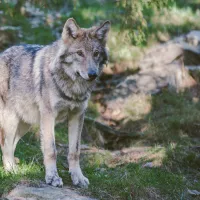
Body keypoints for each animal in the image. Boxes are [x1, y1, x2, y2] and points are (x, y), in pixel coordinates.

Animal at [0, 17, 110, 188]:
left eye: (96, 54)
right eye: (79, 53)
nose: (92, 74)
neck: (73, 88)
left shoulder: (78, 115)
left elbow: (75, 151)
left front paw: (78, 177)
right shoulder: (48, 116)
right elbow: (51, 150)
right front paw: (52, 177)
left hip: (24, 125)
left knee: (10, 145)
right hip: (11, 121)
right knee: (5, 145)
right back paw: (11, 171)